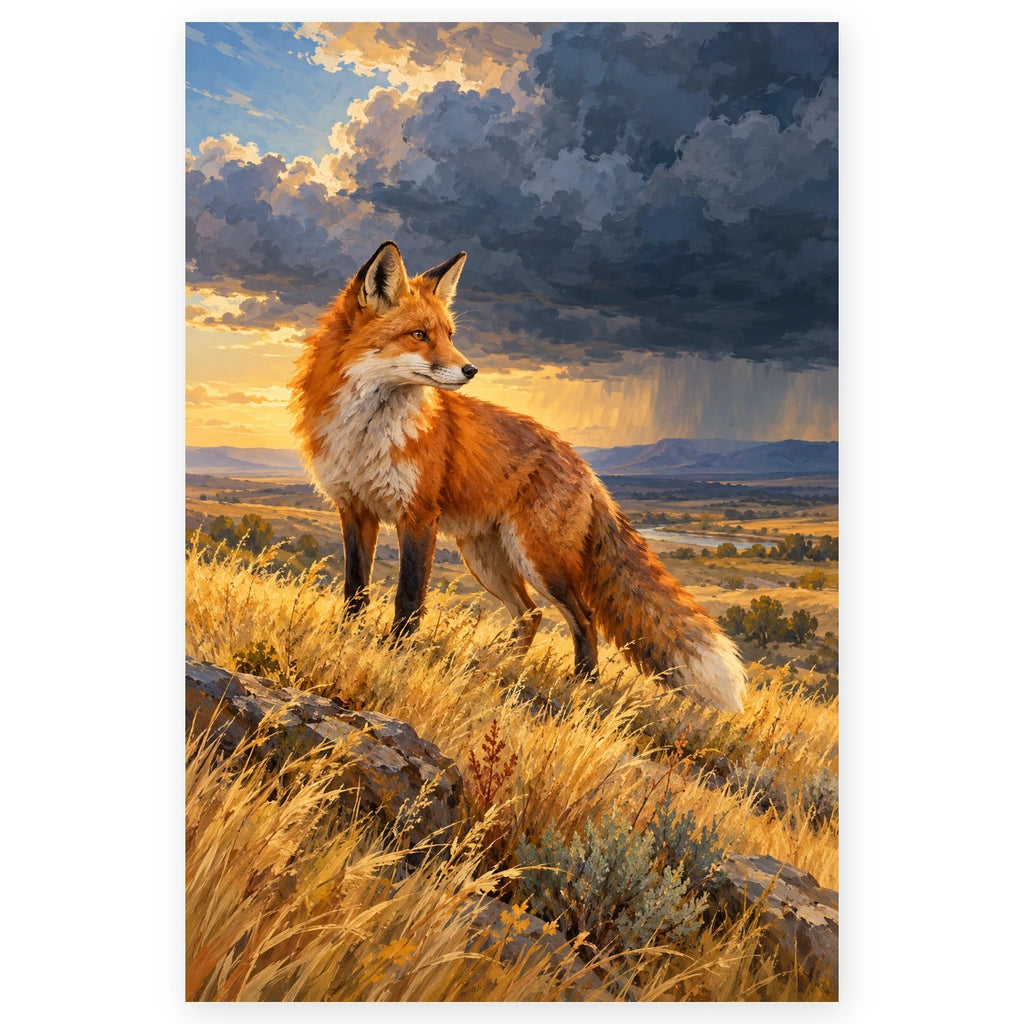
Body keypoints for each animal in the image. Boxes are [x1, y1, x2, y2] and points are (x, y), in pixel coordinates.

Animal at [290, 241, 747, 712]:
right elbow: (355, 589)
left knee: (582, 618)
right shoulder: (354, 509)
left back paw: (581, 685)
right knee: (530, 614)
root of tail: (584, 466)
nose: (471, 370)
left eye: (450, 335)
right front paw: (346, 639)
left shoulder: (417, 516)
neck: (368, 432)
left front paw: (397, 653)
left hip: (540, 559)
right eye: (419, 335)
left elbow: (409, 596)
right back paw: (497, 667)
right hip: (485, 558)